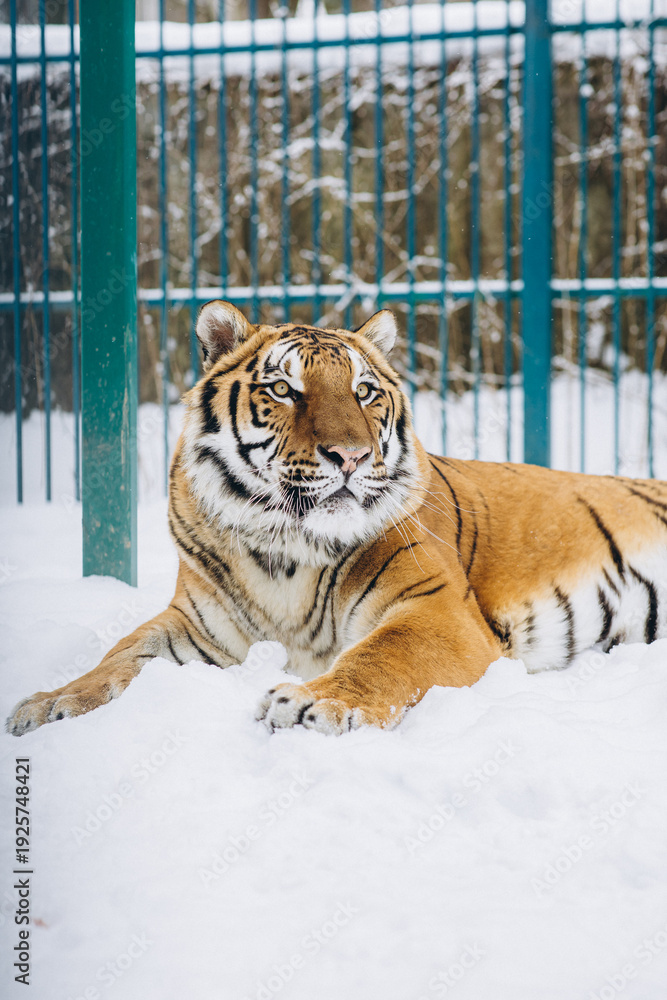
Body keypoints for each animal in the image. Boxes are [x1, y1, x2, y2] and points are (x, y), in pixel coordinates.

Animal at [6, 300, 667, 738]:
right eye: (283, 389)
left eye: (365, 392)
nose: (350, 456)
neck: (282, 546)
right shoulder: (196, 626)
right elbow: (119, 656)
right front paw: (48, 704)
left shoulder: (435, 611)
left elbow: (383, 655)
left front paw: (308, 704)